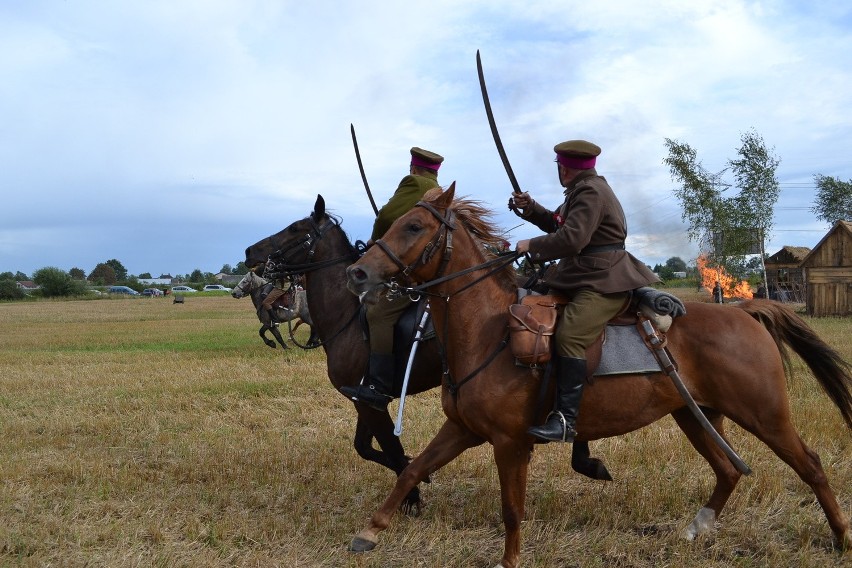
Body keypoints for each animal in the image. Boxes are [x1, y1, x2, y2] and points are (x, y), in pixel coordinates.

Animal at [346, 183, 852, 568]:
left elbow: (511, 509)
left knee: (810, 465)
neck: (489, 332)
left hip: (764, 415)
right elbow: (412, 470)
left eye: (414, 226)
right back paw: (697, 528)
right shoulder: (463, 429)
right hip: (696, 416)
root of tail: (745, 311)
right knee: (729, 470)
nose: (357, 272)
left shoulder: (510, 443)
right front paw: (370, 532)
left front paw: (509, 560)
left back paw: (840, 537)